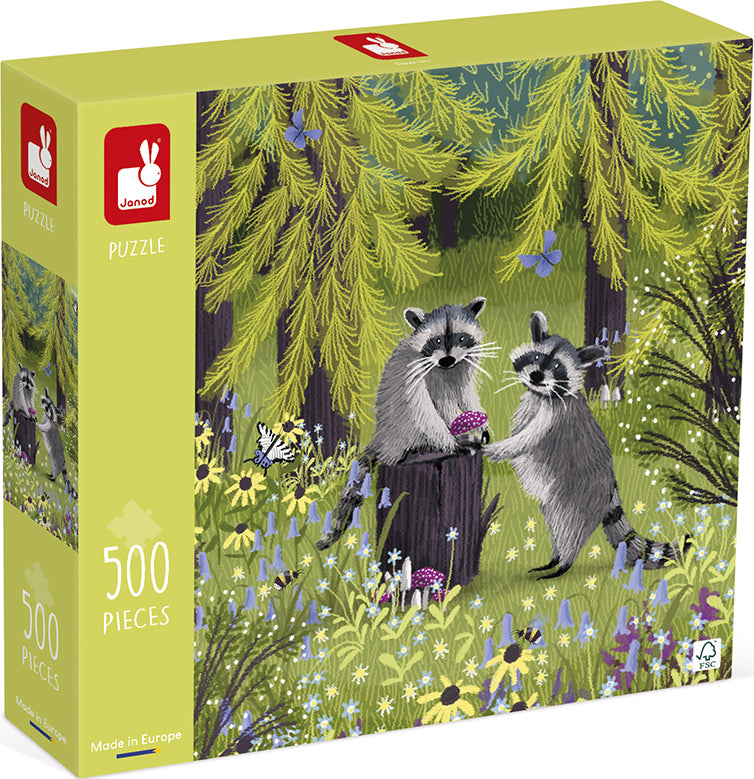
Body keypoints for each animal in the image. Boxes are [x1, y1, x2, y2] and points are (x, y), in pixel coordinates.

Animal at [316, 297, 494, 550]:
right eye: (436, 340)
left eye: (461, 338)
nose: (447, 359)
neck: (446, 366)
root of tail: (382, 437)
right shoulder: (415, 372)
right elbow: (429, 407)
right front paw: (453, 439)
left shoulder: (460, 368)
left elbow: (465, 393)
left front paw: (477, 424)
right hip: (400, 430)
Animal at [484, 311, 690, 579]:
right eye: (537, 357)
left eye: (557, 366)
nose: (536, 377)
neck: (542, 394)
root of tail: (610, 484)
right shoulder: (532, 403)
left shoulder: (554, 417)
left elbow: (524, 440)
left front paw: (493, 448)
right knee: (554, 519)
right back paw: (556, 557)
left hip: (578, 492)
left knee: (569, 524)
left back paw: (564, 562)